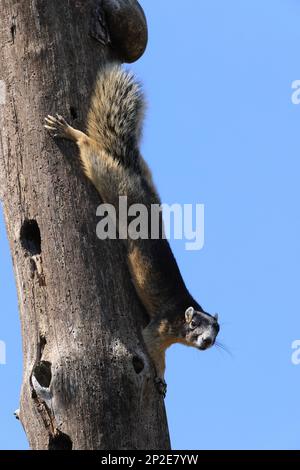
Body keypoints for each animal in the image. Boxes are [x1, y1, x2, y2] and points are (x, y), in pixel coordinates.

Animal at [44, 63, 218, 396]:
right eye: (193, 326)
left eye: (217, 331)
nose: (207, 342)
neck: (183, 312)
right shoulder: (161, 326)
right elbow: (151, 348)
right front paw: (160, 378)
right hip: (111, 182)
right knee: (91, 151)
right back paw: (70, 132)